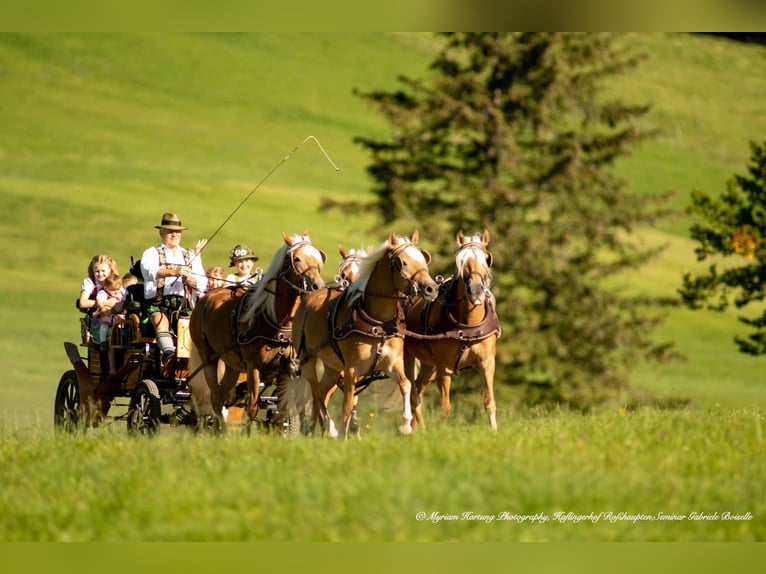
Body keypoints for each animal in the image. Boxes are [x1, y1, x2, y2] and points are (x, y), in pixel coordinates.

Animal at [190, 232, 328, 430]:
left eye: (319, 258)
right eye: (297, 259)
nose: (318, 286)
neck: (277, 321)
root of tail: (206, 298)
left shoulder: (287, 370)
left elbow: (282, 410)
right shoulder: (253, 367)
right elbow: (252, 407)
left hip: (232, 365)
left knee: (222, 396)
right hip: (208, 358)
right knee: (215, 397)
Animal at [292, 230, 438, 436]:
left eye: (423, 260)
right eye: (403, 262)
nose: (431, 288)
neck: (379, 323)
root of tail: (309, 298)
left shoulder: (392, 363)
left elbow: (406, 385)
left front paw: (405, 424)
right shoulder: (352, 369)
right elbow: (347, 405)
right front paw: (343, 436)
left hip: (332, 368)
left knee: (320, 392)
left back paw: (316, 431)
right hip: (308, 360)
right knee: (316, 392)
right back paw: (327, 428)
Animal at [404, 230, 500, 432]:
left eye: (486, 259)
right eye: (460, 260)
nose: (476, 290)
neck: (467, 326)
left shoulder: (487, 362)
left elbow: (490, 402)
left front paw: (495, 432)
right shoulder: (444, 366)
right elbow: (446, 408)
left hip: (429, 365)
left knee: (418, 389)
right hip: (408, 357)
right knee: (412, 394)